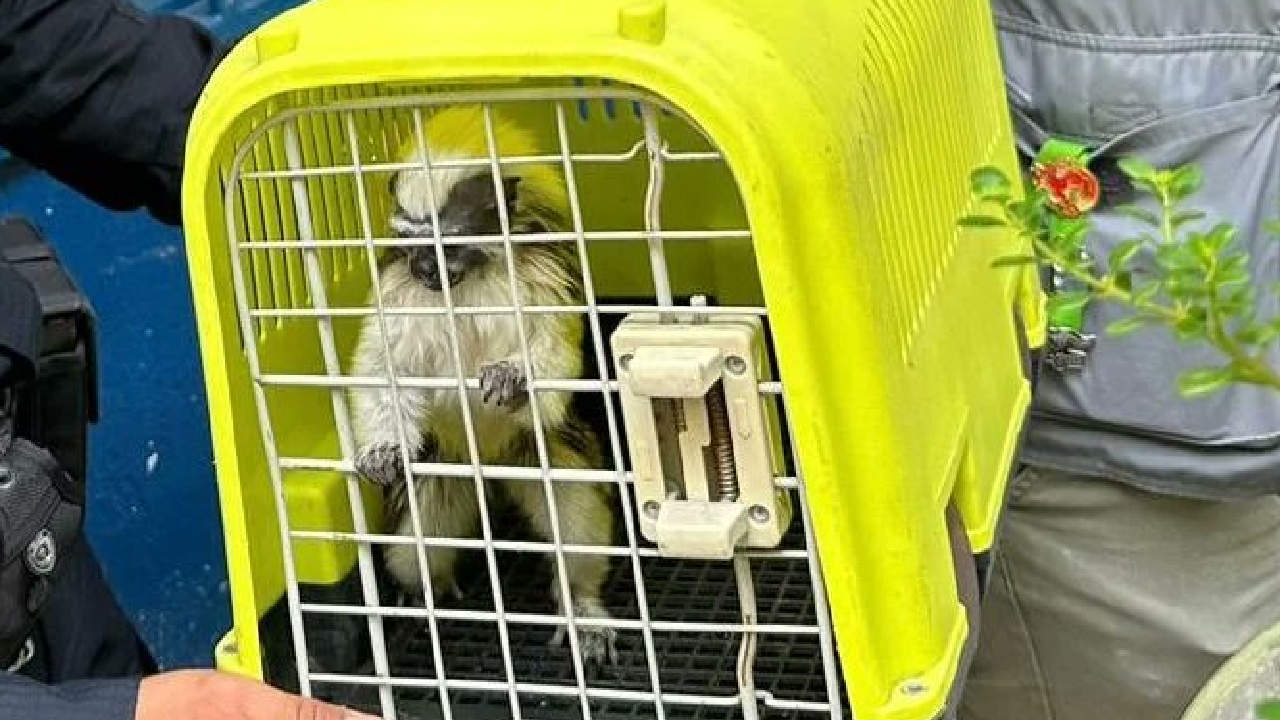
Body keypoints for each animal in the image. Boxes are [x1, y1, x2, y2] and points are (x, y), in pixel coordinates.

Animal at [348, 105, 617, 664]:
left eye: (447, 240)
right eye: (411, 240)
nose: (424, 268)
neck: (468, 276)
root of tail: (489, 467)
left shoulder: (543, 270)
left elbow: (556, 353)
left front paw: (512, 377)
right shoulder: (397, 286)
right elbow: (383, 365)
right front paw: (382, 450)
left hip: (535, 450)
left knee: (575, 519)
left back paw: (580, 603)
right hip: (444, 462)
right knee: (416, 542)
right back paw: (423, 596)